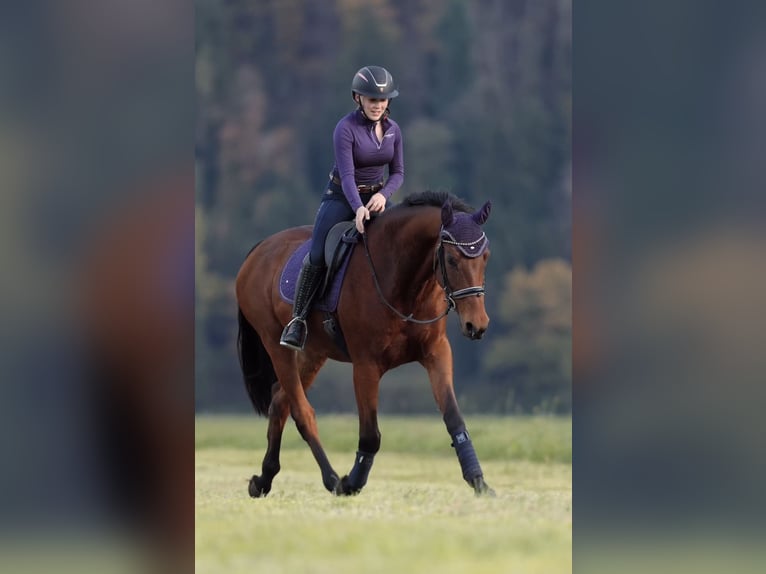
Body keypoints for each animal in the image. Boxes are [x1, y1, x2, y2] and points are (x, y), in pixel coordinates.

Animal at [235, 190, 495, 497]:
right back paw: (332, 479)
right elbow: (371, 435)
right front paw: (352, 483)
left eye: (485, 257)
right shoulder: (366, 365)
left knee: (279, 402)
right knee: (301, 412)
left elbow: (454, 419)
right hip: (277, 346)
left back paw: (264, 479)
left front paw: (479, 482)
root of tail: (259, 249)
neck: (404, 282)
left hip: (313, 354)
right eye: (453, 260)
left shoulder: (436, 353)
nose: (476, 325)